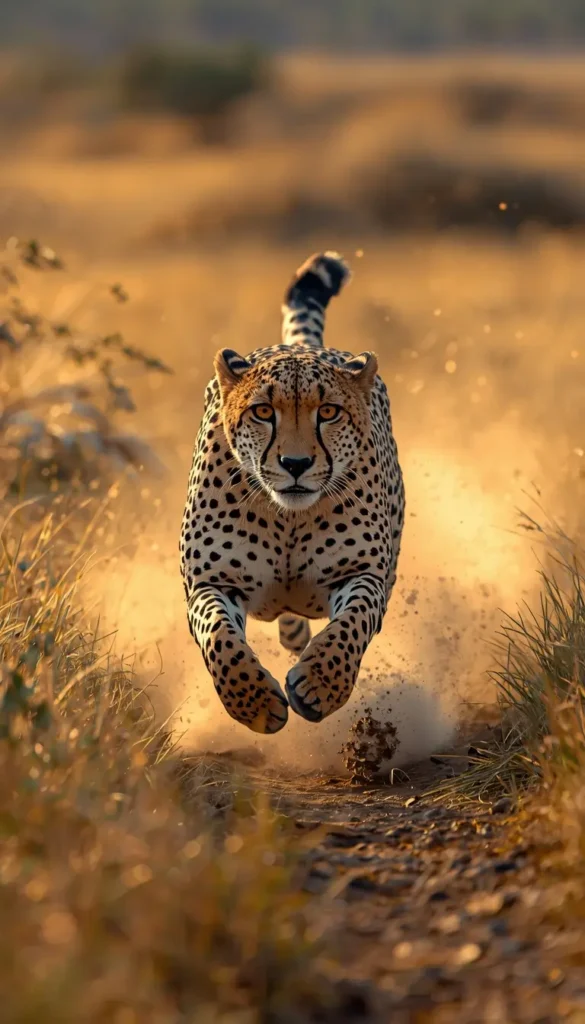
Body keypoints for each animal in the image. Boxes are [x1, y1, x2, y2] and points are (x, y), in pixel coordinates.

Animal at [180, 251, 404, 735]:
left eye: (329, 412)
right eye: (263, 412)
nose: (295, 464)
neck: (288, 518)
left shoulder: (363, 573)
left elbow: (353, 623)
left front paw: (322, 683)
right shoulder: (211, 581)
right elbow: (219, 637)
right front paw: (253, 701)